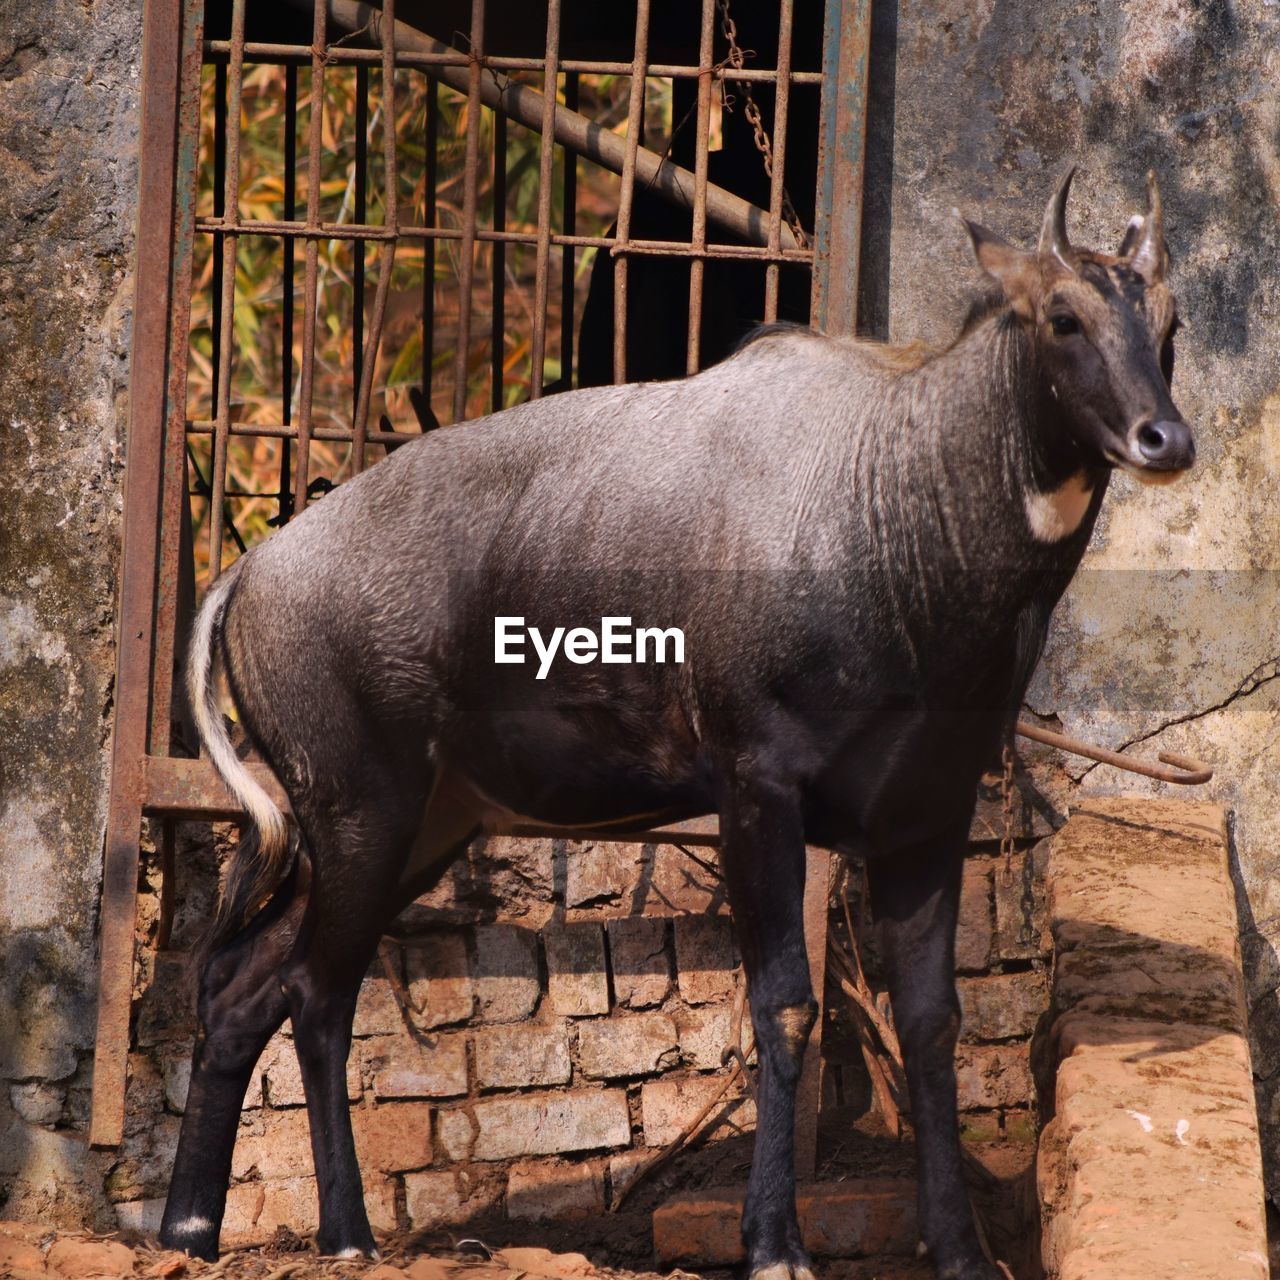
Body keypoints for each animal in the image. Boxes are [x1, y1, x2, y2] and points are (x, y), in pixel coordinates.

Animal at [160, 172, 1187, 1280]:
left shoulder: (927, 812)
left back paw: (189, 1228)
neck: (890, 497)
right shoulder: (758, 787)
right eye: (1061, 316)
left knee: (244, 986)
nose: (1163, 439)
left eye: (1168, 323)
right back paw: (345, 1233)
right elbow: (785, 1000)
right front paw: (774, 1245)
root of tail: (247, 572)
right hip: (361, 814)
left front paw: (958, 1252)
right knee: (316, 993)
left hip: (420, 825)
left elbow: (930, 1019)